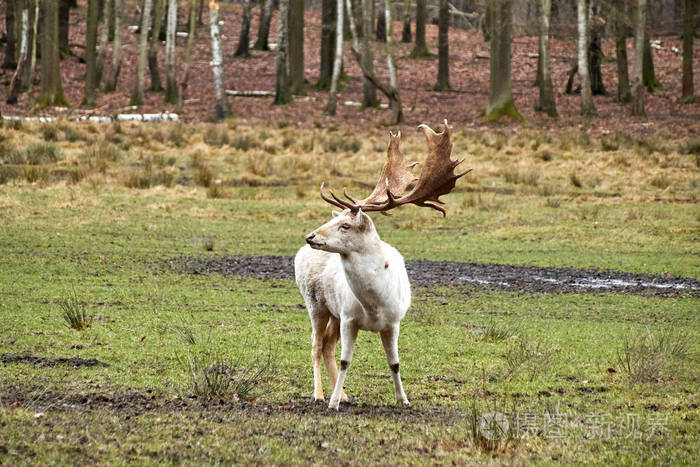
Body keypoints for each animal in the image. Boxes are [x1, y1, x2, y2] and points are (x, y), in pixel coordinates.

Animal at [292, 120, 468, 410]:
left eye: (345, 225)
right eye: (335, 220)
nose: (311, 236)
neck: (374, 304)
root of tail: (298, 254)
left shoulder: (393, 321)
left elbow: (395, 363)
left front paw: (403, 400)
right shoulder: (349, 318)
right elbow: (346, 360)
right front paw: (332, 403)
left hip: (333, 313)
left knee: (327, 345)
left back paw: (343, 394)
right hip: (315, 303)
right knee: (316, 346)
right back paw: (320, 394)